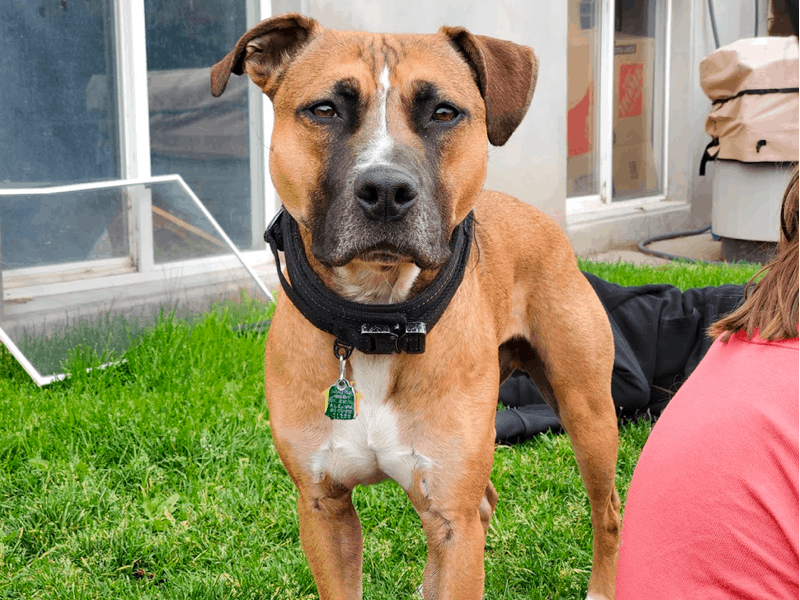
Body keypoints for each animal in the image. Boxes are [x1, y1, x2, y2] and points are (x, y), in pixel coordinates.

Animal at [211, 14, 620, 600]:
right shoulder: (324, 507)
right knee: (488, 502)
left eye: (444, 112)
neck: (377, 321)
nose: (385, 188)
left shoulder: (450, 515)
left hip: (587, 413)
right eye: (324, 109)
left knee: (606, 509)